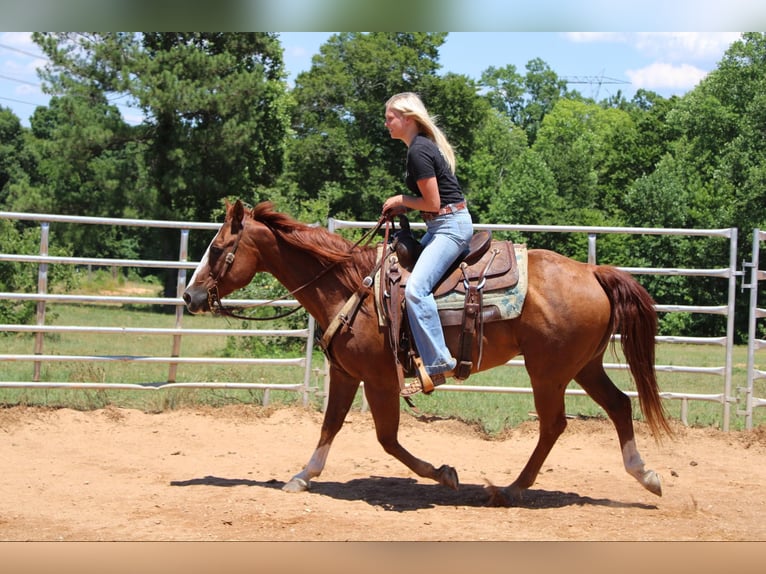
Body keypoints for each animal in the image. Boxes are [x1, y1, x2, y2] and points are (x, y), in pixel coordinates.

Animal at [183, 199, 673, 505]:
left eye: (218, 249)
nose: (190, 296)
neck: (351, 287)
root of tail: (594, 273)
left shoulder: (380, 379)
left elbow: (386, 439)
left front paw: (444, 473)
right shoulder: (346, 374)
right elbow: (330, 425)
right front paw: (303, 476)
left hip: (548, 372)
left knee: (554, 425)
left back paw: (511, 490)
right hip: (583, 366)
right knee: (619, 406)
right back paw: (646, 475)